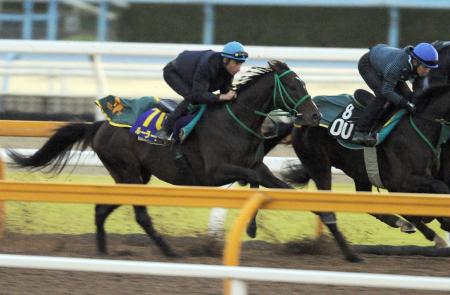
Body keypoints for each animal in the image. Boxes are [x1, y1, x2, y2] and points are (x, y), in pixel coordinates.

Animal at [7, 60, 324, 260]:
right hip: (129, 173)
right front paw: (251, 226)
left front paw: (322, 215)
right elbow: (254, 180)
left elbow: (277, 186)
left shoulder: (256, 165)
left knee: (101, 209)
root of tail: (99, 126)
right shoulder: (215, 173)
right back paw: (168, 251)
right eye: (293, 86)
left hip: (133, 177)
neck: (235, 122)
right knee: (140, 216)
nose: (314, 115)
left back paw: (103, 252)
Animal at [282, 85, 450, 247]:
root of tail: (300, 119)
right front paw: (439, 227)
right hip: (319, 165)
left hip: (359, 172)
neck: (420, 125)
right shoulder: (401, 182)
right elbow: (439, 189)